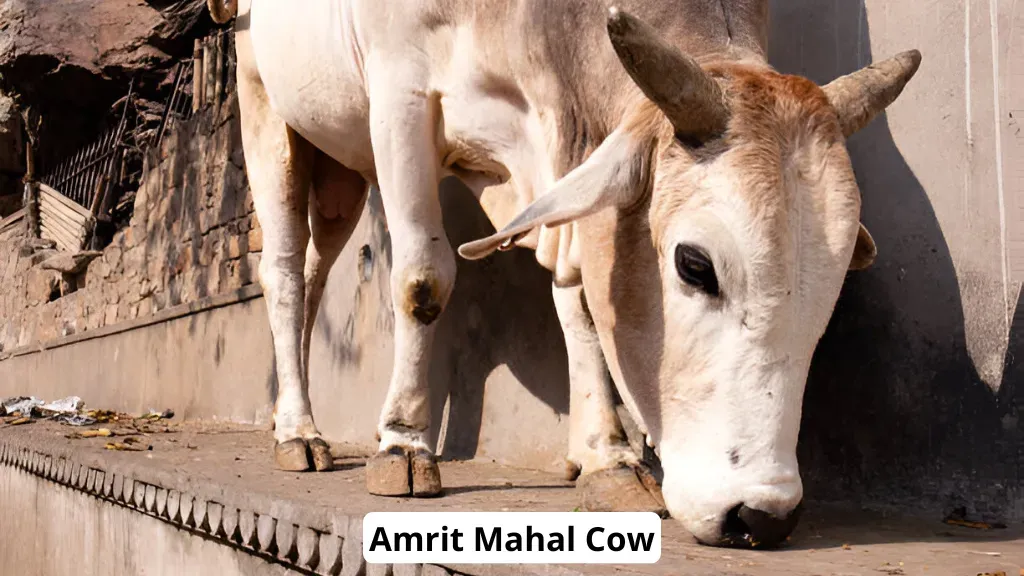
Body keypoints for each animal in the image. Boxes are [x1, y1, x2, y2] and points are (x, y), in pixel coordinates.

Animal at [207, 0, 920, 547]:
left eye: (834, 284)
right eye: (695, 265)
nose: (761, 517)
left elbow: (579, 302)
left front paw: (607, 457)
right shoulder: (401, 98)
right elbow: (422, 280)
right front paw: (403, 446)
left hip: (338, 170)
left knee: (313, 277)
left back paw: (289, 416)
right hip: (267, 108)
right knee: (283, 273)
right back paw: (299, 433)